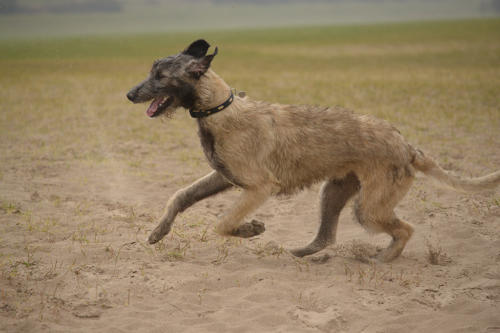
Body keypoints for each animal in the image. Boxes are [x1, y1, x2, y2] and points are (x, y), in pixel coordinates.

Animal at [126, 39, 500, 262]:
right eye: (152, 70)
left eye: (161, 75)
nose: (129, 94)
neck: (219, 108)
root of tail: (407, 145)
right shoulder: (222, 176)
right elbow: (180, 196)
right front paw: (158, 231)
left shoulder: (259, 187)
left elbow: (223, 222)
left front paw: (249, 230)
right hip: (334, 193)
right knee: (326, 237)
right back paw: (304, 252)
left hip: (369, 207)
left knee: (404, 229)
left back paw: (381, 259)